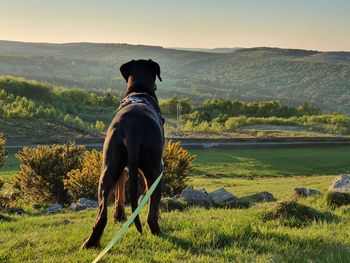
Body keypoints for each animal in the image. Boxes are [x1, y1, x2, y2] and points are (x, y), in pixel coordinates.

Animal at [82, 59, 164, 250]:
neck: (139, 91)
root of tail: (134, 126)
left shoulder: (122, 166)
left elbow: (120, 187)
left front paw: (119, 215)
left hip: (109, 165)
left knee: (101, 213)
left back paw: (91, 242)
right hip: (155, 169)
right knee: (152, 207)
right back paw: (157, 230)